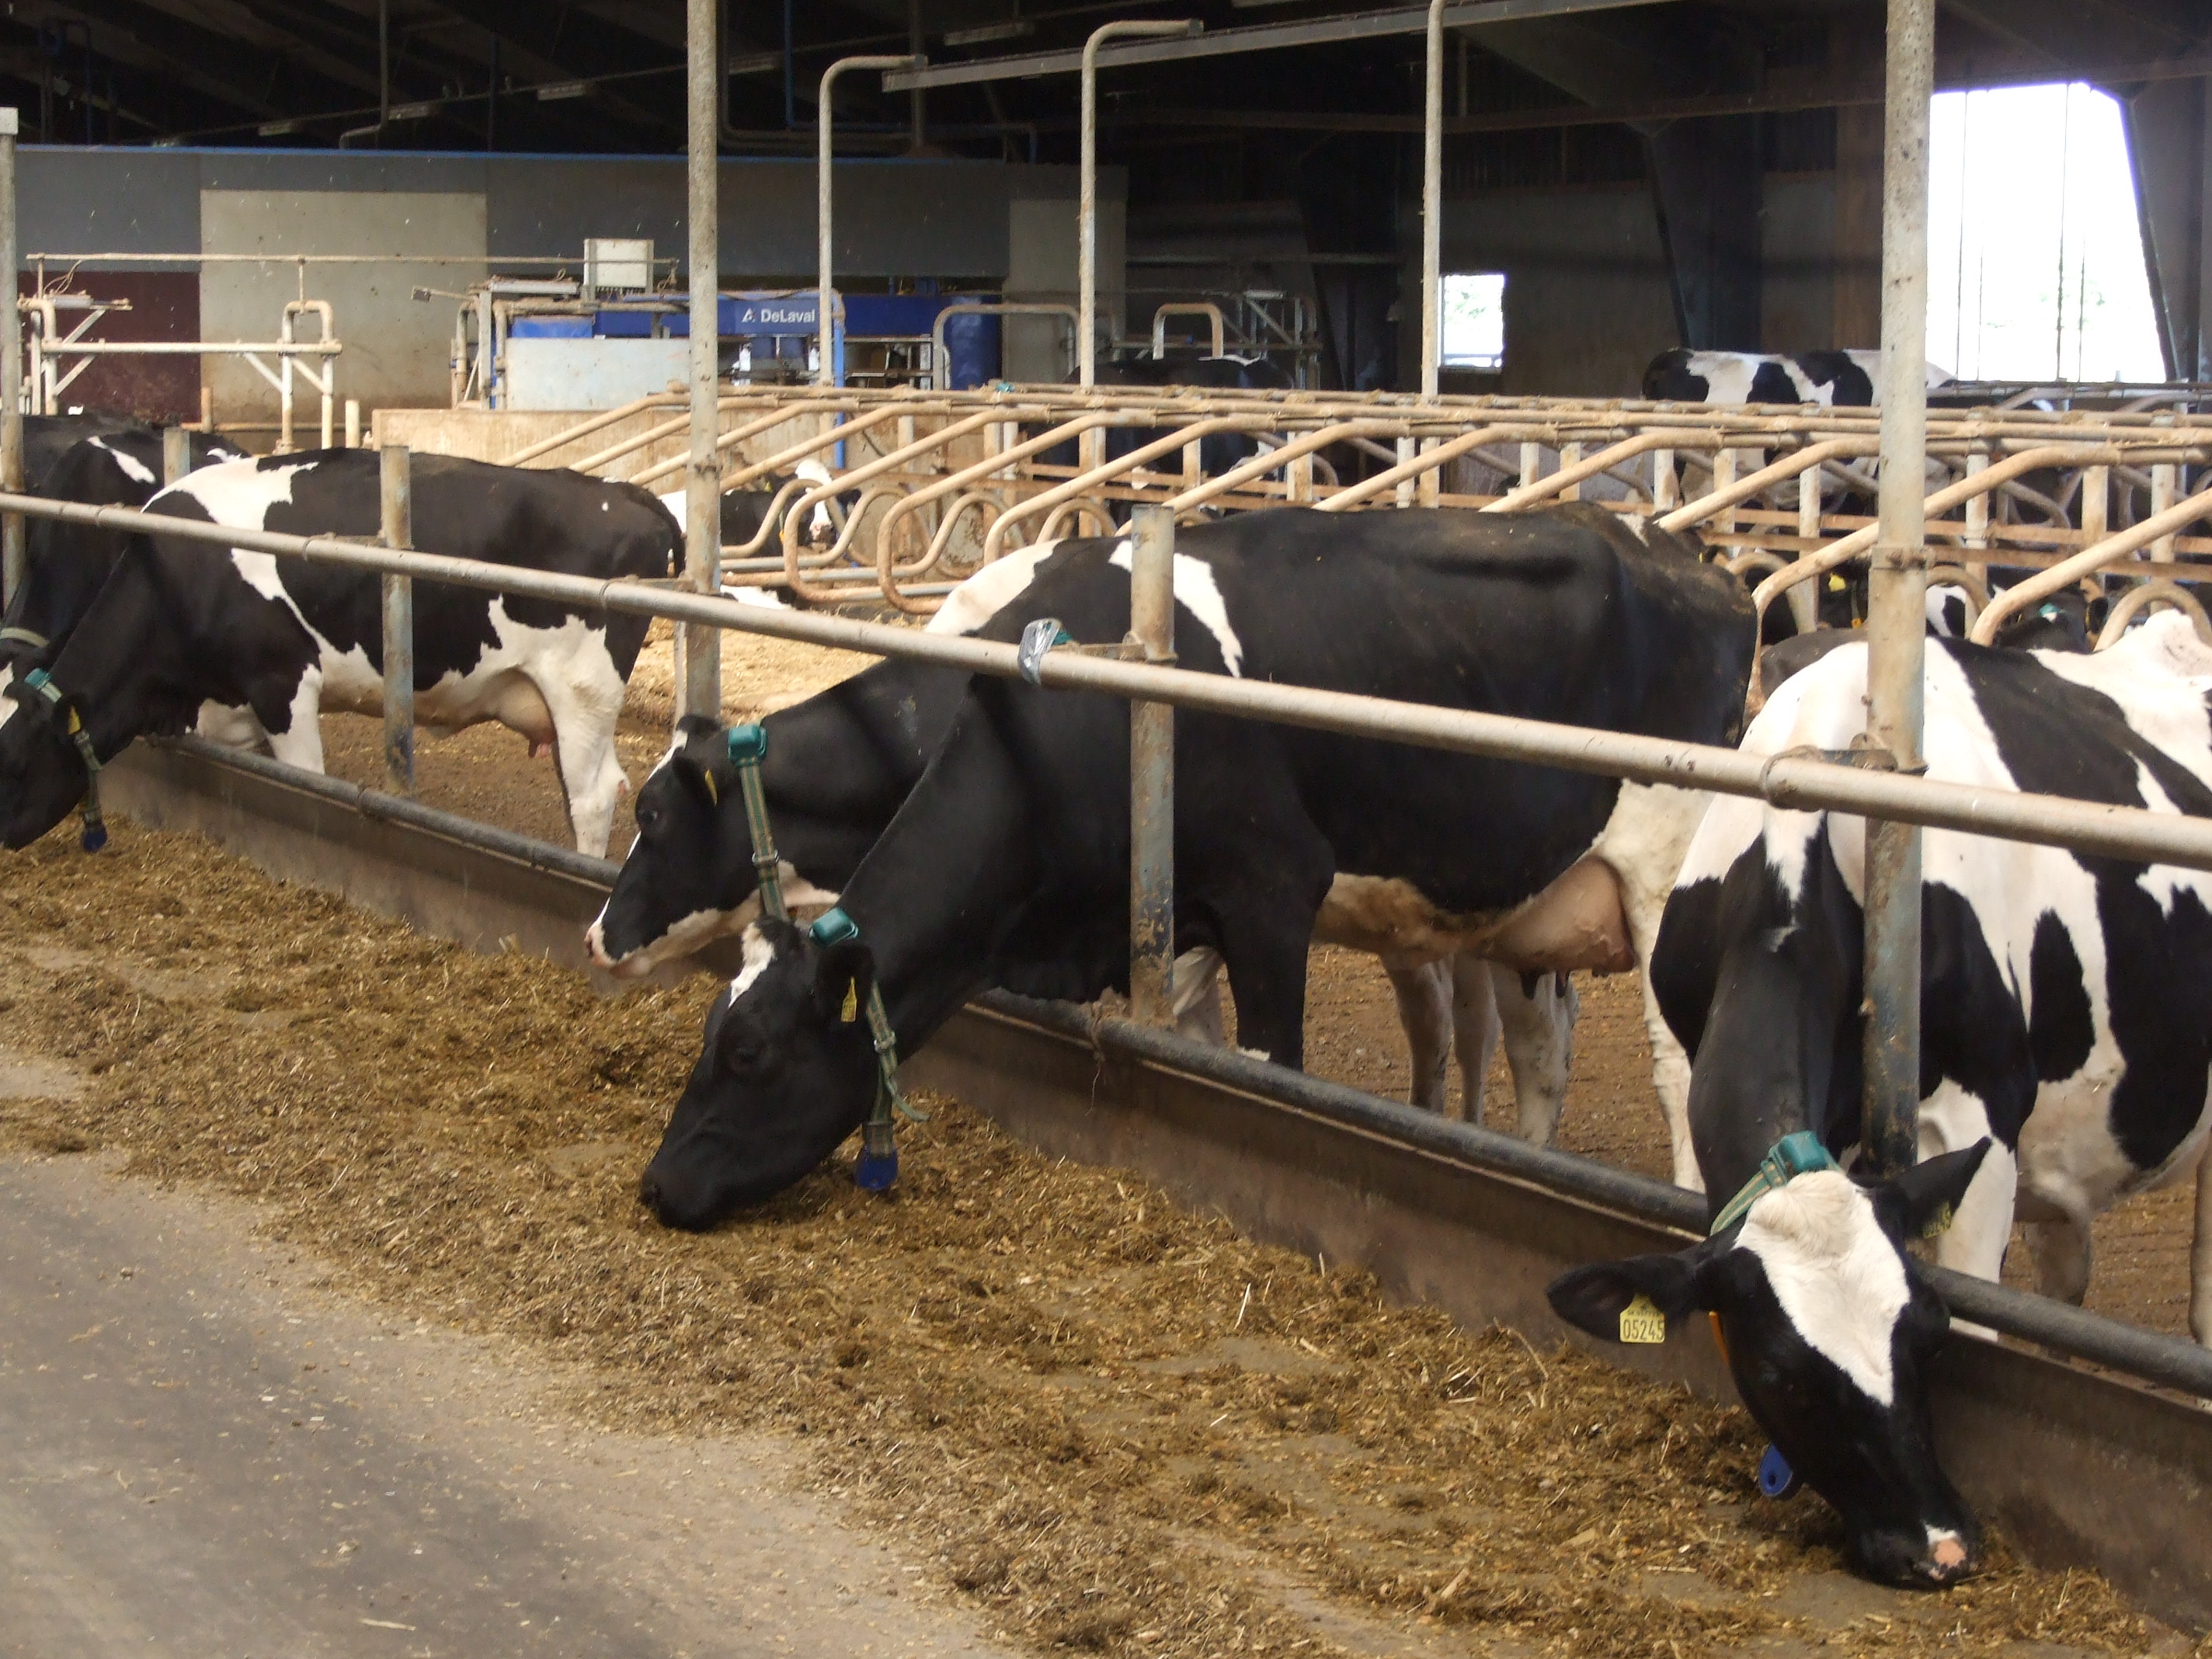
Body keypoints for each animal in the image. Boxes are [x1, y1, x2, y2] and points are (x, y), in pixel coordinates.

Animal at [0, 449, 677, 856]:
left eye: (15, 762)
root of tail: (628, 494)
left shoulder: (284, 683)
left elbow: (307, 781)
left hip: (582, 687)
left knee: (592, 796)